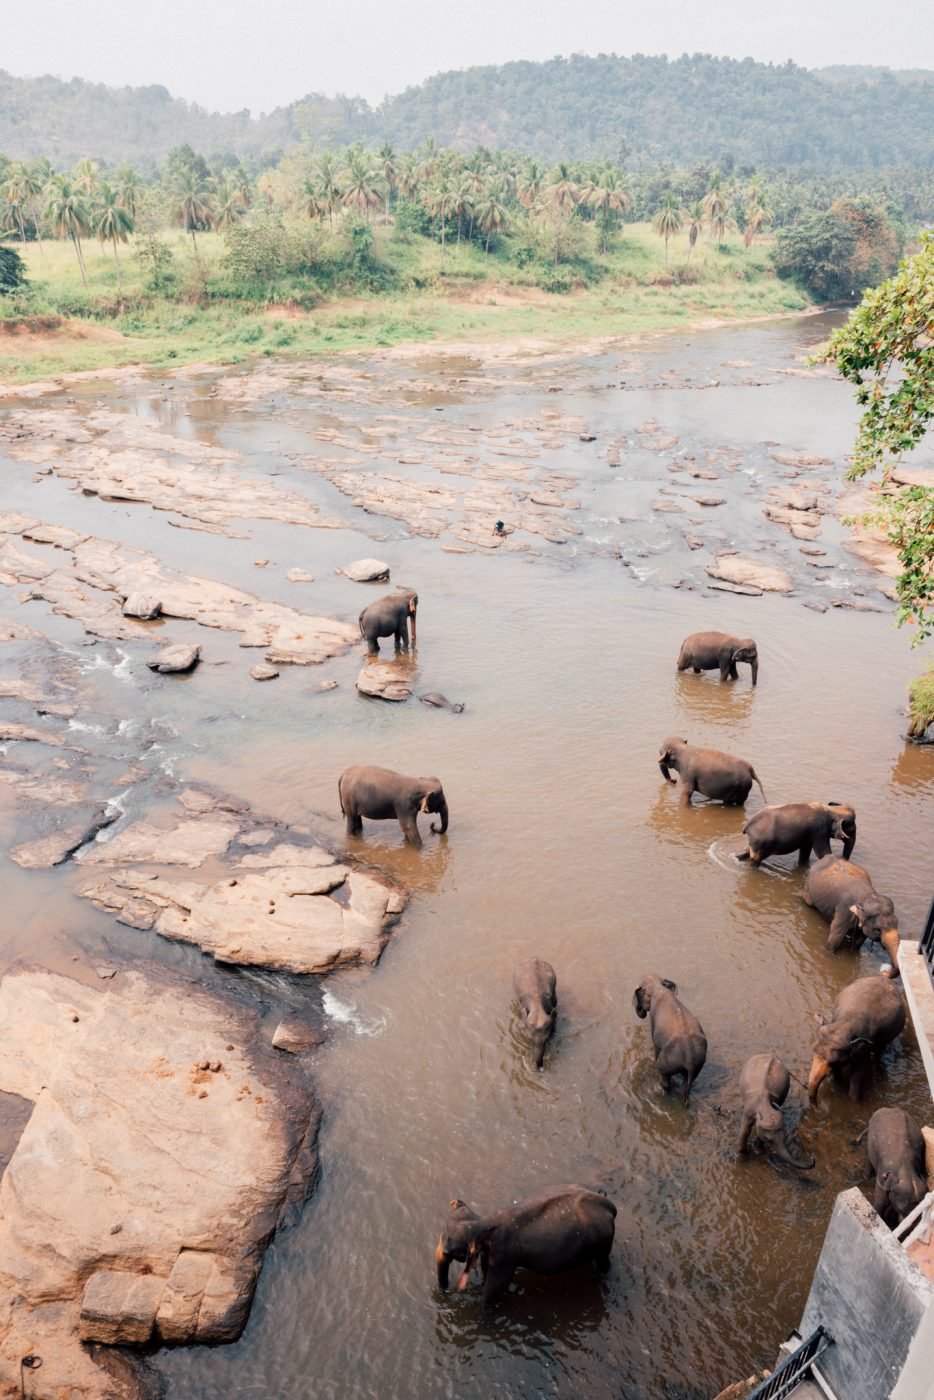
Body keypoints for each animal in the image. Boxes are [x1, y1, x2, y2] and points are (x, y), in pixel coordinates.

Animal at [434, 1187, 616, 1304]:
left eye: (451, 1252)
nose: (447, 1293)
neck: (485, 1222)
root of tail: (609, 1205)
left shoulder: (504, 1256)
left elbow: (496, 1286)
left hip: (603, 1241)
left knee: (604, 1263)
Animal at [635, 974, 708, 1103]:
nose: (640, 1009)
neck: (658, 987)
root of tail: (689, 1060)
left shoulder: (653, 1018)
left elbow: (655, 1044)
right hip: (699, 1064)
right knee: (686, 1084)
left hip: (668, 1063)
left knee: (665, 1077)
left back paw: (660, 1091)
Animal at [806, 974, 907, 1103]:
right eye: (813, 1052)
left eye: (831, 1062)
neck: (846, 1023)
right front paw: (839, 1086)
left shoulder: (865, 1044)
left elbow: (857, 1073)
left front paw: (854, 1100)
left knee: (880, 1049)